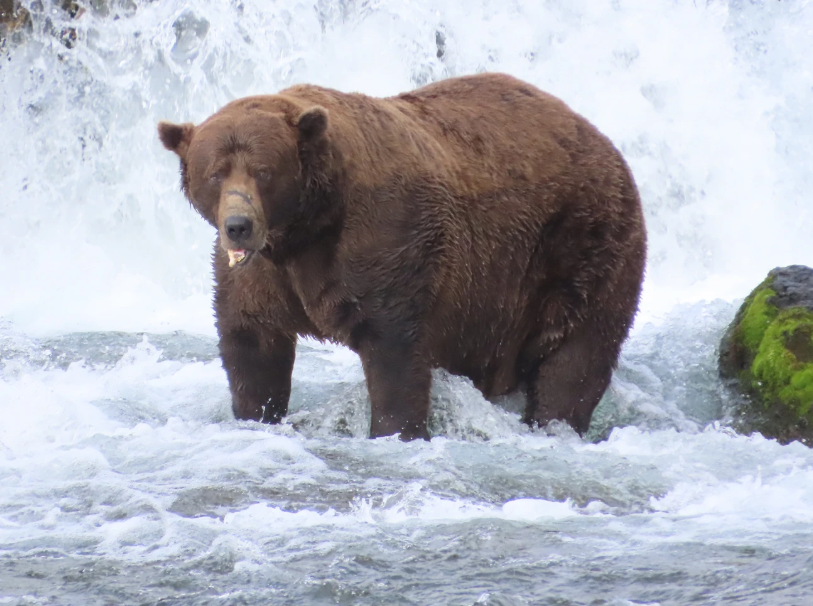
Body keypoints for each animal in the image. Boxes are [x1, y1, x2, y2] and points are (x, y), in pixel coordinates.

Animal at [158, 73, 647, 440]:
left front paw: (396, 430)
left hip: (581, 245)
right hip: (495, 302)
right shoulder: (261, 275)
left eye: (263, 171)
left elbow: (394, 349)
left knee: (577, 355)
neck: (306, 229)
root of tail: (602, 139)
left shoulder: (387, 241)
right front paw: (256, 413)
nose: (238, 224)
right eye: (215, 173)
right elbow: (252, 343)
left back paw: (554, 422)